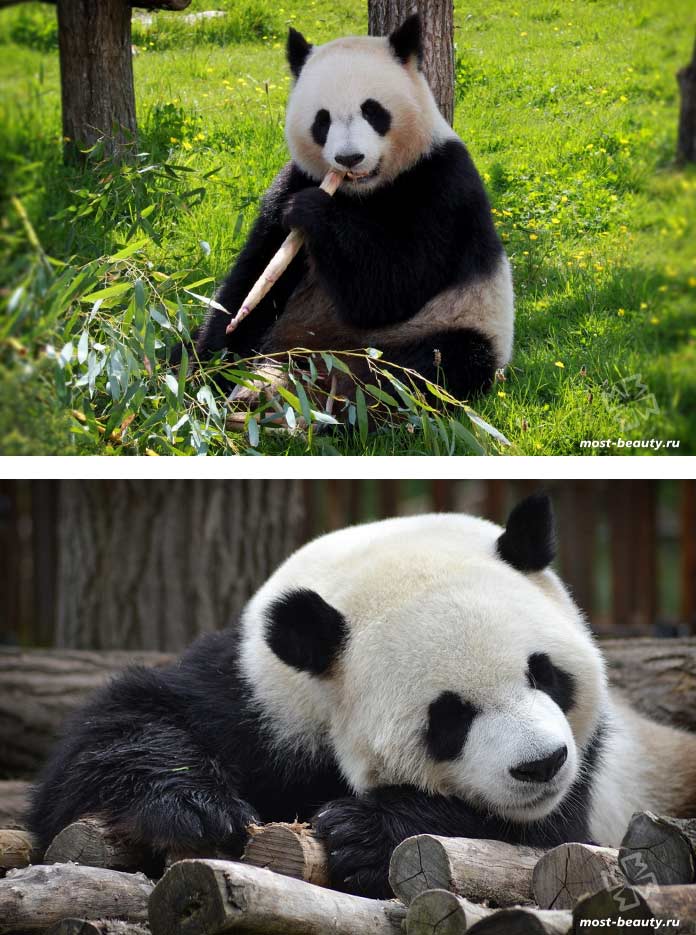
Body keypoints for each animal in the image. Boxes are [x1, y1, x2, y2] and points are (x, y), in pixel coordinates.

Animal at [27, 495, 696, 898]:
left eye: (545, 673)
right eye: (449, 717)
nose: (542, 764)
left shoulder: (590, 783)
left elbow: (539, 840)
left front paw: (362, 832)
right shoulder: (254, 696)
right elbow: (107, 741)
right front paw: (195, 806)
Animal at [194, 15, 514, 401]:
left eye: (372, 111)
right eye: (322, 120)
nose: (349, 158)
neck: (361, 192)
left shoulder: (442, 185)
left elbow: (393, 286)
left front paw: (312, 211)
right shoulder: (294, 179)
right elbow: (255, 276)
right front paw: (210, 364)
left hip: (455, 322)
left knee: (435, 366)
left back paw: (347, 397)